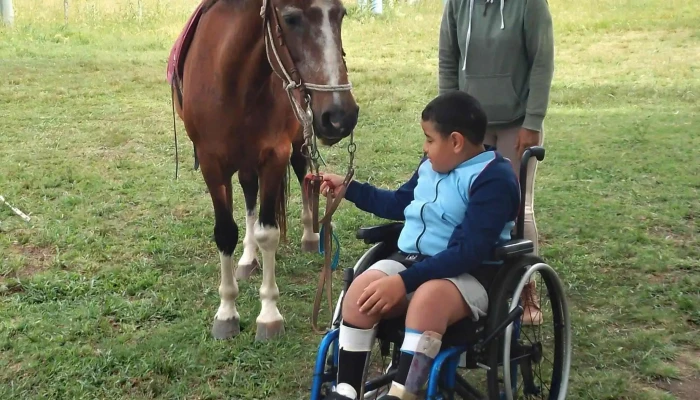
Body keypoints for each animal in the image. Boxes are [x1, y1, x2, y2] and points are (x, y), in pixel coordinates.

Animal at [167, 0, 358, 340]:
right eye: (291, 19)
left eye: (341, 15)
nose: (340, 116)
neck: (233, 79)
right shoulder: (212, 164)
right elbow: (225, 232)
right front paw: (227, 312)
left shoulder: (274, 156)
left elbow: (269, 233)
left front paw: (269, 315)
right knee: (248, 194)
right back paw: (247, 258)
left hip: (296, 139)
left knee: (304, 174)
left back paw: (310, 235)